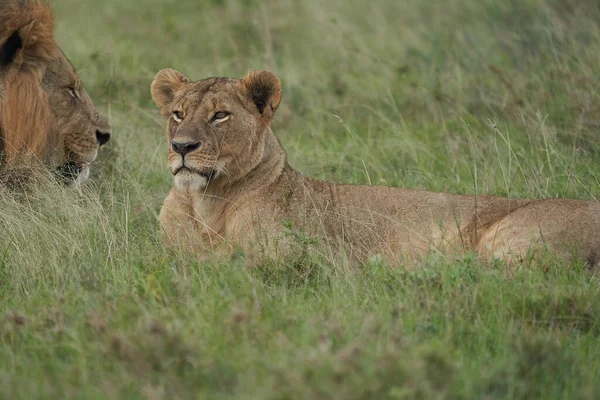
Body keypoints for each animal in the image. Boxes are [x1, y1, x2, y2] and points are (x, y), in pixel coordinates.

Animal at [152, 69, 600, 266]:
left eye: (220, 116)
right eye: (178, 114)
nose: (182, 147)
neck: (209, 201)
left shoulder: (309, 257)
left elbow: (232, 261)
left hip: (511, 239)